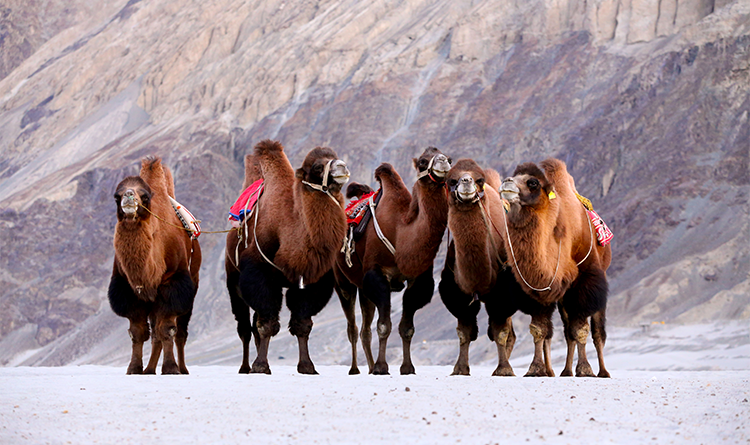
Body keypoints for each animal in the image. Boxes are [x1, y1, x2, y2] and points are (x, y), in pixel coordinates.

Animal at [108, 158, 201, 372]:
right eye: (117, 196)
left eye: (144, 196)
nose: (128, 195)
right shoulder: (130, 289)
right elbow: (137, 332)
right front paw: (134, 369)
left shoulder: (174, 283)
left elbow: (167, 329)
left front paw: (170, 368)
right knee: (155, 333)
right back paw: (149, 369)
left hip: (192, 284)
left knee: (179, 331)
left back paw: (183, 369)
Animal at [225, 140, 352, 374]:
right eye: (317, 167)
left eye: (335, 156)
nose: (342, 167)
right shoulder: (260, 275)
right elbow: (267, 324)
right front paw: (260, 366)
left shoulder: (310, 280)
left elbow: (302, 324)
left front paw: (307, 366)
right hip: (233, 278)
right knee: (245, 325)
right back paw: (245, 366)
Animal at [334, 147, 452, 372]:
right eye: (422, 162)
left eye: (450, 158)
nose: (443, 162)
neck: (401, 231)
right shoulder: (377, 273)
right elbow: (384, 325)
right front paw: (382, 367)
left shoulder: (418, 279)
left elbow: (406, 327)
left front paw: (407, 368)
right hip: (342, 280)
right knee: (352, 327)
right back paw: (356, 369)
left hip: (362, 288)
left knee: (364, 330)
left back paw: (370, 367)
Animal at [440, 159, 560, 374]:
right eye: (451, 180)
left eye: (480, 180)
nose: (466, 182)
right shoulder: (457, 293)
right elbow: (464, 332)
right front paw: (460, 369)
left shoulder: (501, 295)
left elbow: (499, 333)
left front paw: (504, 369)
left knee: (545, 329)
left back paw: (547, 370)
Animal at [502, 158, 612, 376]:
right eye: (514, 175)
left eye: (533, 182)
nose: (506, 182)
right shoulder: (539, 288)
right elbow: (539, 329)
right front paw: (535, 369)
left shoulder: (585, 282)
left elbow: (581, 329)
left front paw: (585, 369)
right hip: (564, 297)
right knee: (567, 331)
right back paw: (566, 371)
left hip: (598, 280)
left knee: (597, 332)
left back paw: (603, 372)